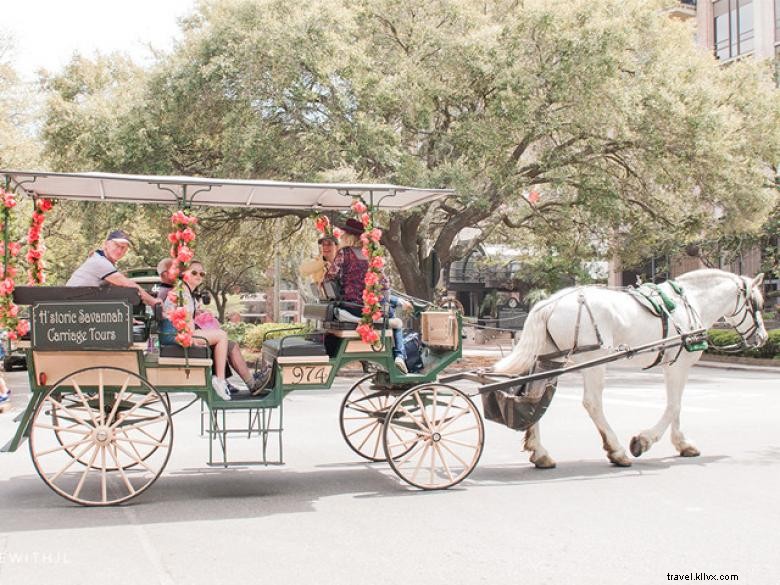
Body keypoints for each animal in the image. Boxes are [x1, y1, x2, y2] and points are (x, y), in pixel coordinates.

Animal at [494, 272, 768, 468]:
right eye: (758, 304)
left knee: (535, 398)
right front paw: (643, 441)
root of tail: (550, 303)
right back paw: (617, 451)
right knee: (592, 403)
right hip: (594, 359)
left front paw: (682, 444)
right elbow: (674, 406)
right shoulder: (679, 365)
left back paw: (540, 453)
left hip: (551, 359)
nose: (763, 338)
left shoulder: (672, 364)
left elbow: (676, 406)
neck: (691, 303)